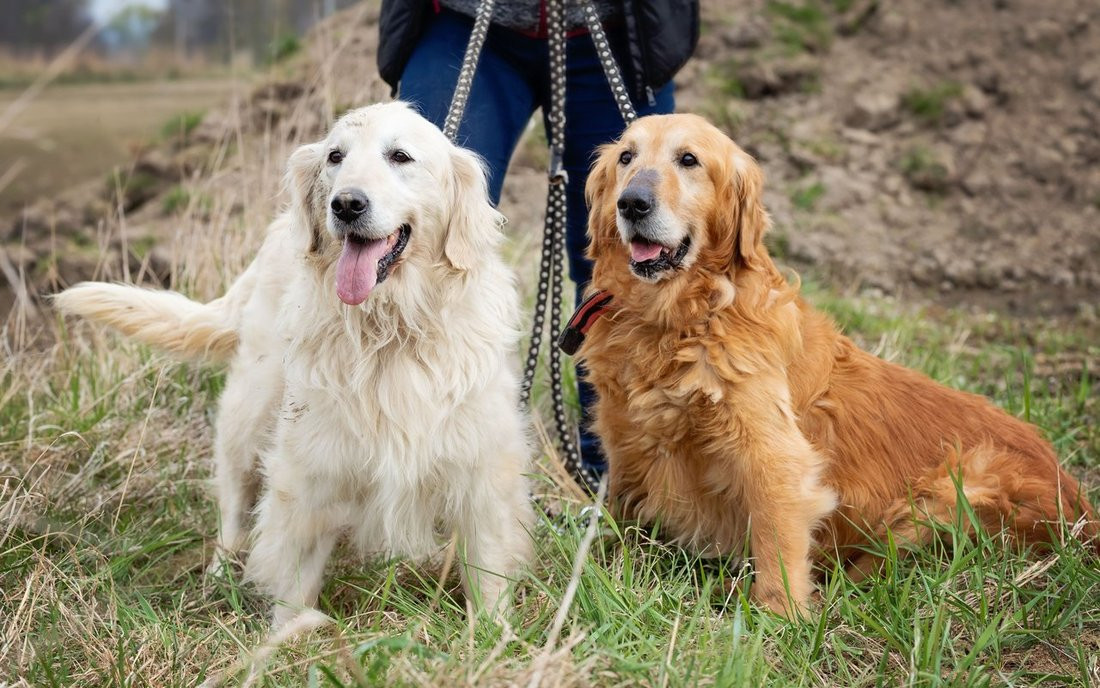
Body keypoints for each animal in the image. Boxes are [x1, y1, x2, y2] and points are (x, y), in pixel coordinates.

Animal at [56, 101, 536, 620]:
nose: (346, 205)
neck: (390, 330)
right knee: (233, 506)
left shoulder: (484, 471)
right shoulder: (307, 470)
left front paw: (491, 633)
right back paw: (219, 575)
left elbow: (487, 571)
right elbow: (295, 577)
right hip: (249, 414)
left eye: (400, 156)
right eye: (335, 156)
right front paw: (292, 635)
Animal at [580, 112, 1095, 616]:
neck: (679, 321)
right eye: (626, 157)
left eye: (689, 159)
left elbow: (777, 539)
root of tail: (1082, 509)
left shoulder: (773, 454)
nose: (632, 203)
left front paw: (780, 618)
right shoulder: (624, 440)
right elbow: (621, 512)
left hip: (956, 489)